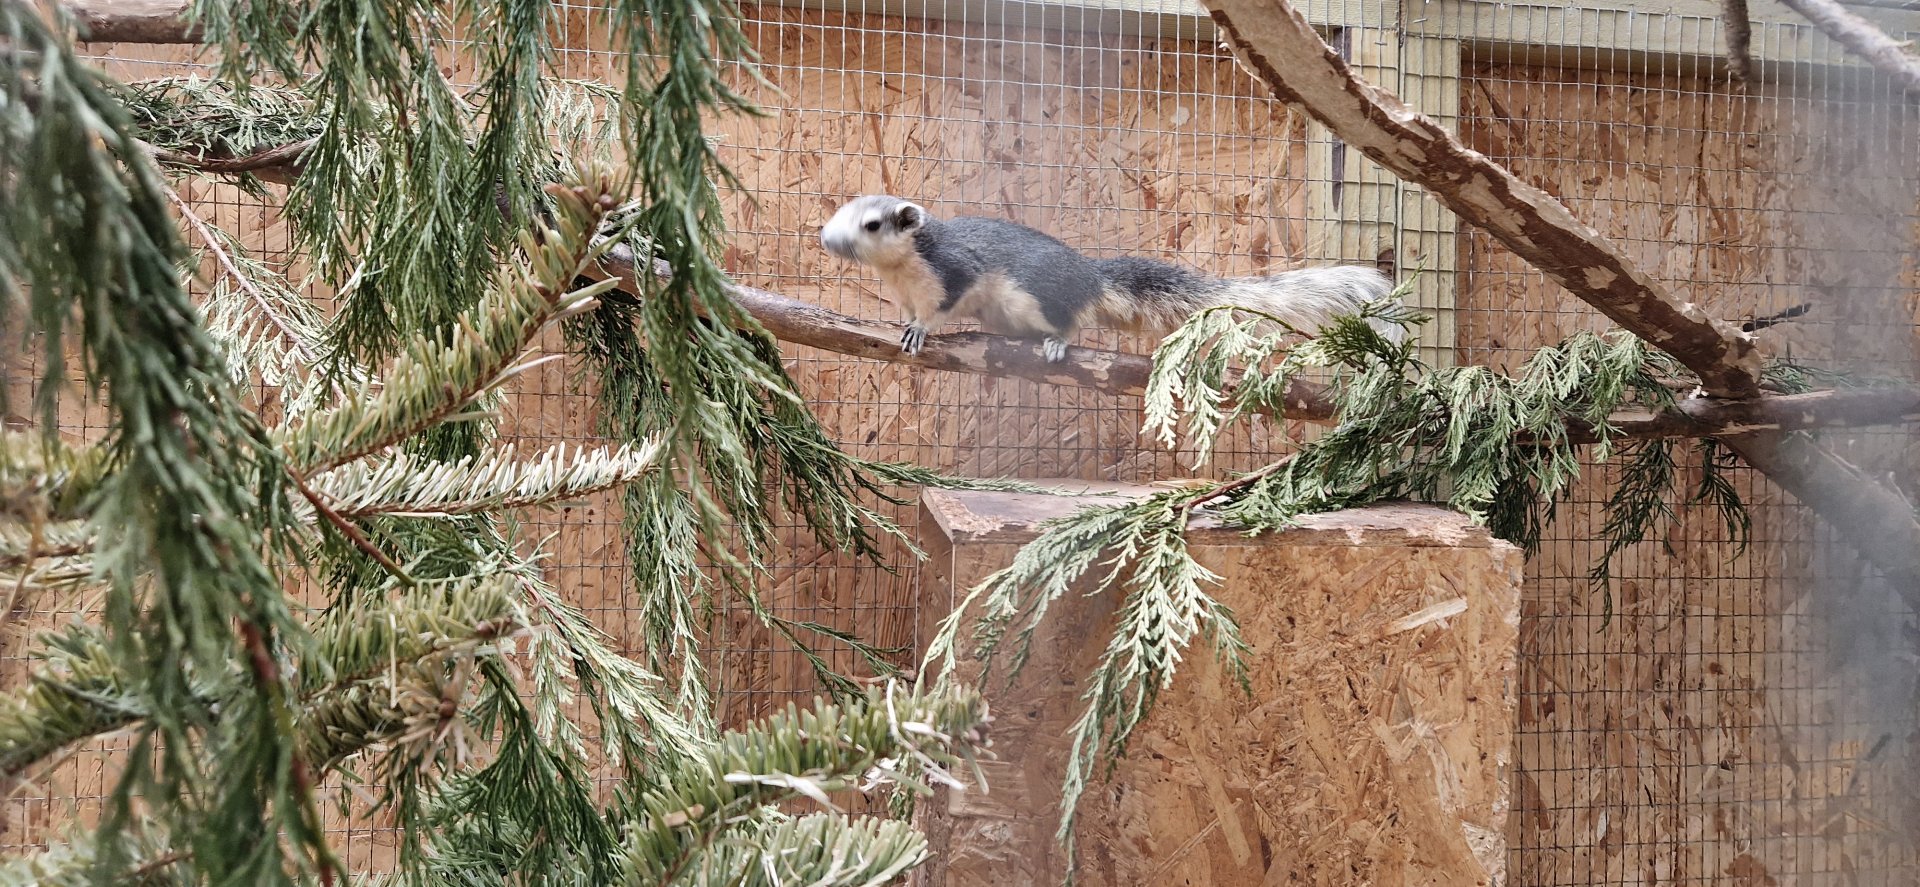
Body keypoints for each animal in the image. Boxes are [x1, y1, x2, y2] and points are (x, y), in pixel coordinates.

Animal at [820, 195, 1402, 362]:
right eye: (843, 208)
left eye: (872, 224)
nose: (826, 239)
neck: (901, 271)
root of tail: (1092, 277)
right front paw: (901, 324)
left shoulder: (953, 273)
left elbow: (938, 309)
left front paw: (920, 330)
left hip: (1034, 297)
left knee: (1069, 321)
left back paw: (1057, 343)